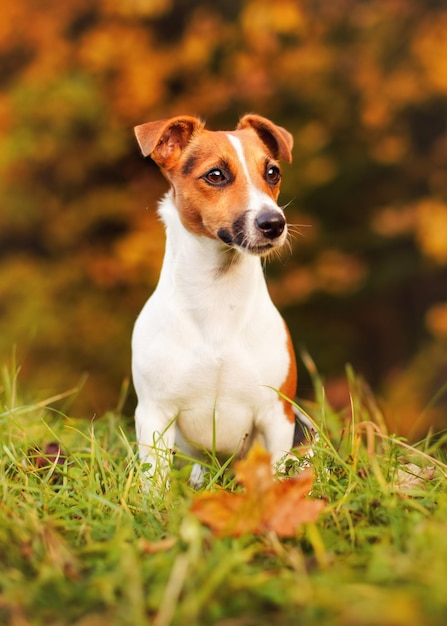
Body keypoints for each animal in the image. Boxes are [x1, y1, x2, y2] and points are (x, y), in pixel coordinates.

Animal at [131, 113, 304, 482]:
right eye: (215, 175)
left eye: (273, 172)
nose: (274, 222)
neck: (218, 295)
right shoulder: (155, 413)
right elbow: (155, 479)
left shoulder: (277, 414)